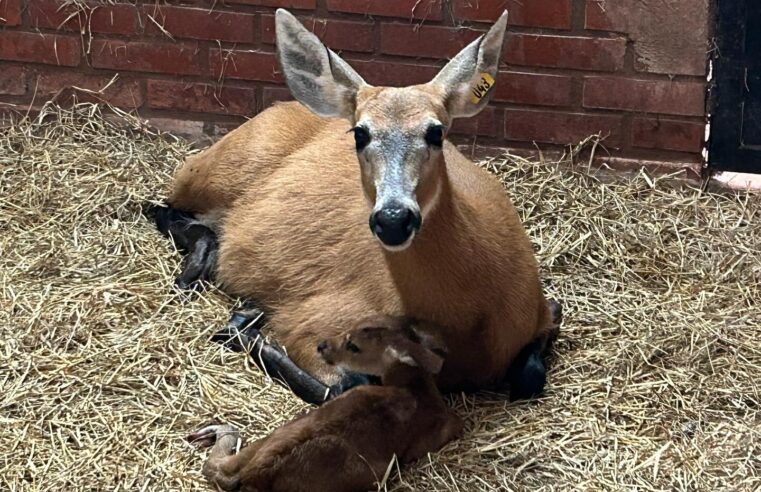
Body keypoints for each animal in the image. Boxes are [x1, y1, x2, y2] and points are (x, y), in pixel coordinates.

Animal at [153, 8, 560, 404]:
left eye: (436, 132)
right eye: (360, 133)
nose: (393, 219)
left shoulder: (543, 311)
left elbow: (531, 374)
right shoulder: (311, 320)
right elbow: (347, 384)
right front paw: (244, 325)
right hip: (214, 172)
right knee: (162, 206)